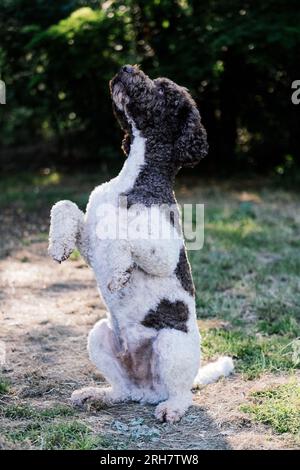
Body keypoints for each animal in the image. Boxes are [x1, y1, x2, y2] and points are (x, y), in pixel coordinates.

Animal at [48, 65, 233, 422]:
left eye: (163, 89)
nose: (125, 68)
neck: (134, 179)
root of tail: (148, 391)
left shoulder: (165, 250)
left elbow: (124, 234)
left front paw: (119, 272)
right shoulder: (91, 244)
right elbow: (64, 205)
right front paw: (58, 244)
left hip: (171, 343)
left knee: (182, 394)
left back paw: (171, 408)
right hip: (99, 335)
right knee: (122, 390)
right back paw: (99, 395)